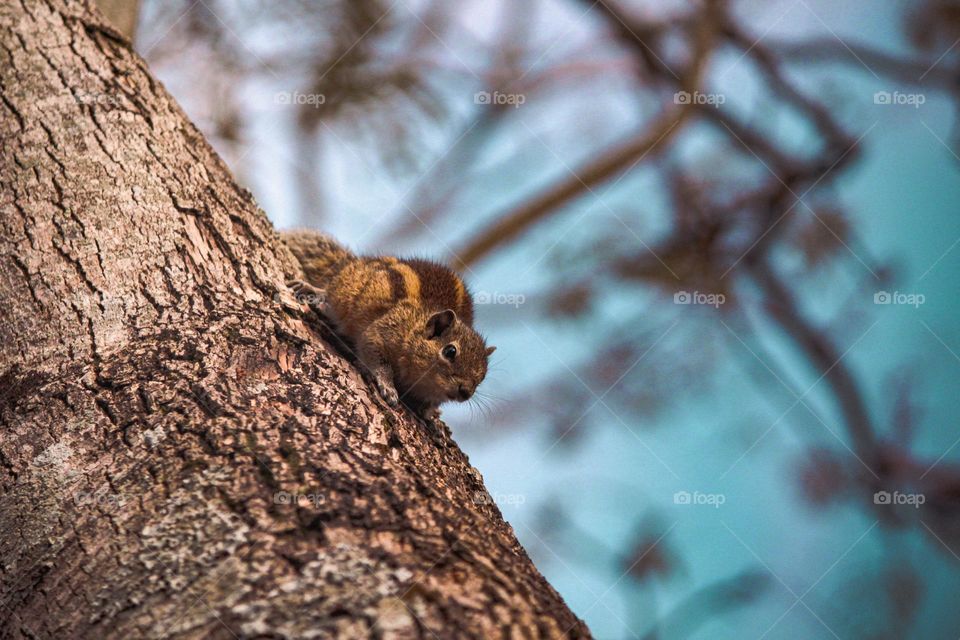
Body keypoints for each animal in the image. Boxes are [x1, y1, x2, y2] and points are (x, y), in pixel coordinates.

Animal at [281, 230, 495, 423]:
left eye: (484, 374)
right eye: (450, 351)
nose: (466, 392)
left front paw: (428, 411)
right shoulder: (384, 332)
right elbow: (376, 354)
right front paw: (388, 386)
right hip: (348, 290)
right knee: (332, 292)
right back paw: (317, 294)